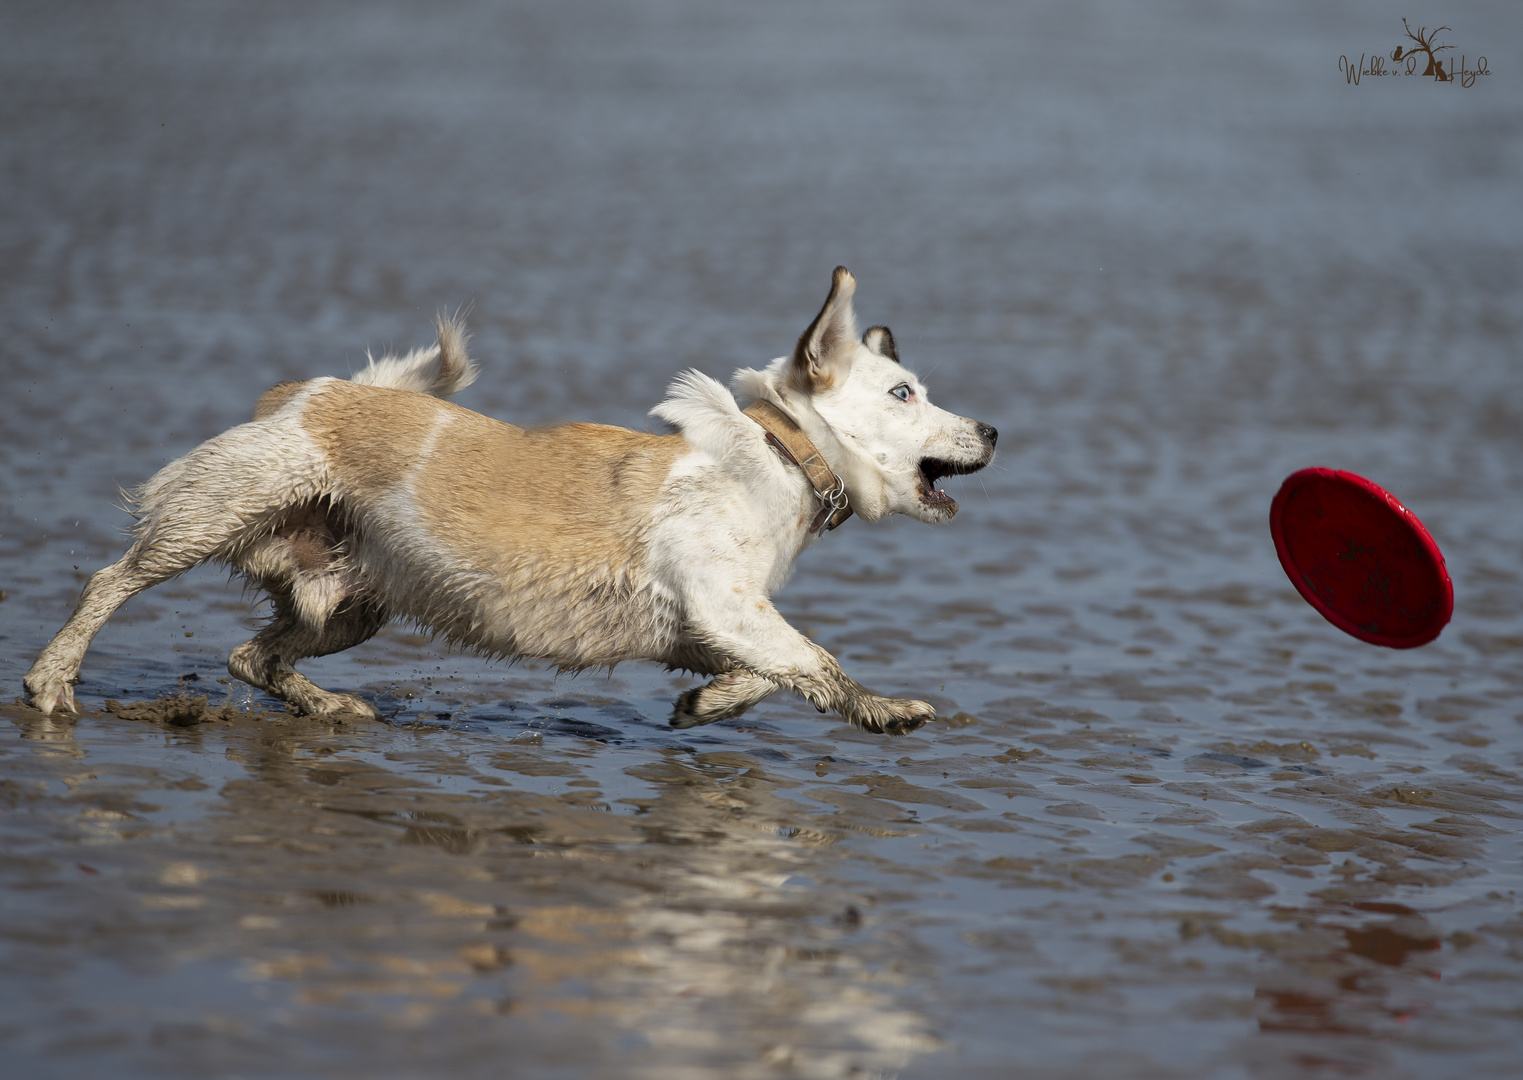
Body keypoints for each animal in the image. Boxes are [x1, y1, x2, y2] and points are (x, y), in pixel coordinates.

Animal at [26, 268, 999, 734]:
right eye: (904, 393)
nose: (992, 429)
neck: (780, 455)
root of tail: (309, 393)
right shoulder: (725, 601)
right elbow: (816, 659)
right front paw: (884, 710)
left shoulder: (707, 621)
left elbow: (766, 672)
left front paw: (707, 708)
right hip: (215, 512)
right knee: (112, 581)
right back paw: (52, 680)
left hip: (354, 603)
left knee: (248, 656)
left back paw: (329, 708)